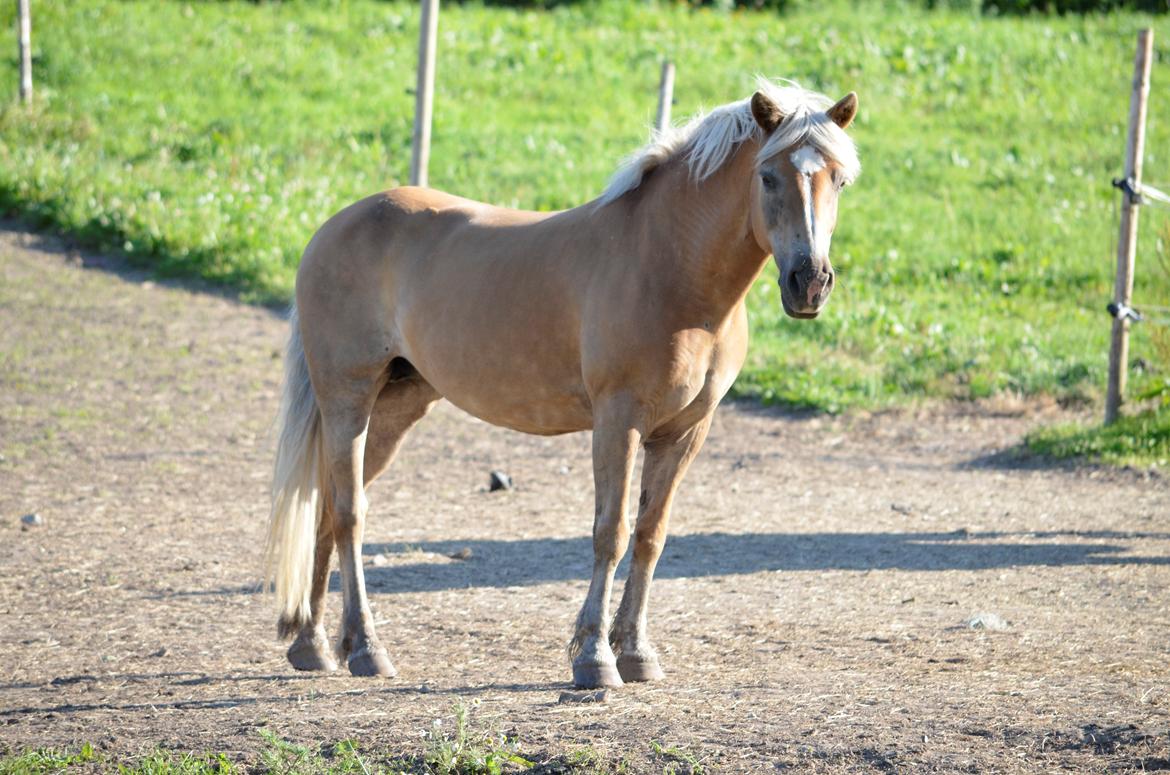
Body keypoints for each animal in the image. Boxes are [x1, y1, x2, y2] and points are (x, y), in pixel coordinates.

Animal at [265, 77, 861, 688]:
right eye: (768, 176)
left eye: (840, 179)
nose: (810, 283)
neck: (669, 269)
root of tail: (333, 228)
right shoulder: (618, 421)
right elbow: (611, 533)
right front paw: (594, 658)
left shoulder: (685, 432)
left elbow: (650, 535)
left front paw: (636, 652)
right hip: (348, 401)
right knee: (349, 515)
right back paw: (365, 648)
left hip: (393, 410)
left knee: (327, 510)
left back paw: (314, 644)